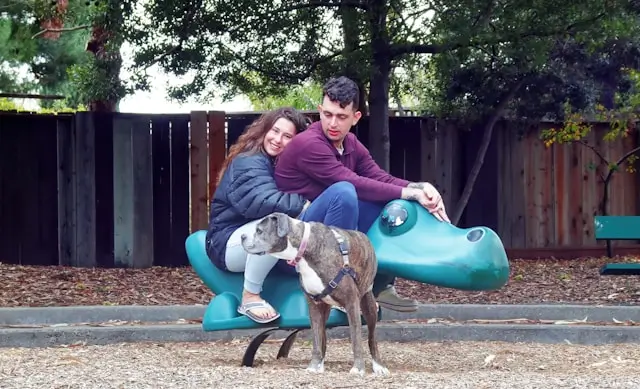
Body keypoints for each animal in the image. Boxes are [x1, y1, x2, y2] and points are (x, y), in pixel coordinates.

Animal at [241, 212, 388, 376]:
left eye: (259, 231)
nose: (242, 236)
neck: (304, 247)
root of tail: (363, 235)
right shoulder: (314, 306)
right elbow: (317, 340)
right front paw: (314, 365)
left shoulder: (351, 304)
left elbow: (356, 339)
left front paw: (358, 368)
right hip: (325, 308)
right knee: (323, 338)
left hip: (368, 305)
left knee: (372, 338)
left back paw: (379, 366)